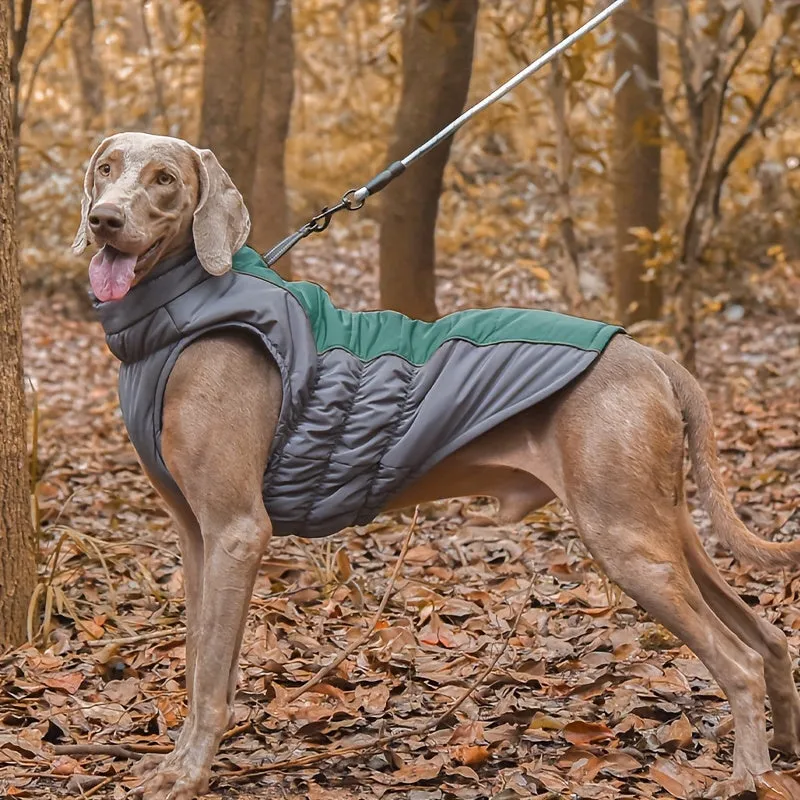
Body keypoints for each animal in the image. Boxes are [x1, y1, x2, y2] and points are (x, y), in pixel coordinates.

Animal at [76, 133, 800, 800]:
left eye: (165, 178)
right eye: (106, 168)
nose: (103, 219)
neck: (180, 316)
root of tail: (649, 353)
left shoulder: (236, 530)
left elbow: (211, 674)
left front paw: (189, 775)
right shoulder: (196, 536)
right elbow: (200, 656)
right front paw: (178, 760)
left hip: (624, 535)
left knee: (737, 661)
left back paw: (747, 776)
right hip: (661, 525)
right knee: (766, 637)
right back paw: (783, 751)